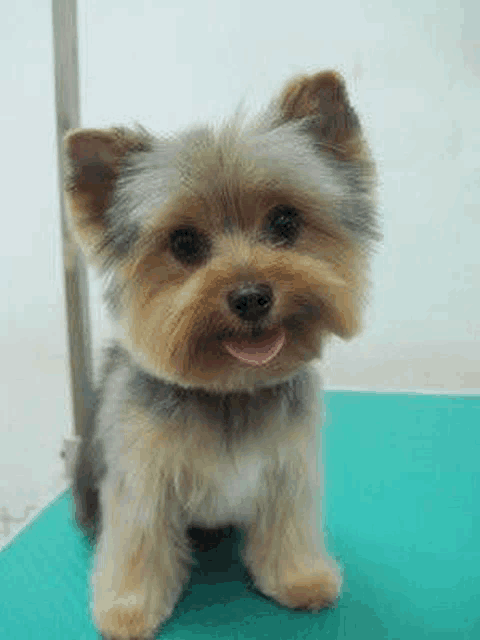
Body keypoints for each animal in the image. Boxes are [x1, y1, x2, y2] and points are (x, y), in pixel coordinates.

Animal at [64, 70, 378, 640]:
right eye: (185, 243)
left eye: (284, 223)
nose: (251, 296)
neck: (231, 389)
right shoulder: (142, 480)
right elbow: (137, 544)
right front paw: (128, 609)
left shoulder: (288, 468)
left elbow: (288, 527)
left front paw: (300, 578)